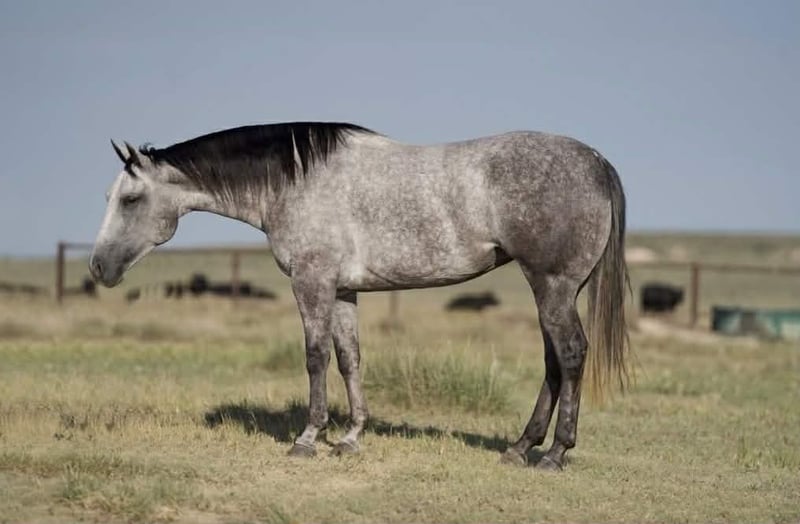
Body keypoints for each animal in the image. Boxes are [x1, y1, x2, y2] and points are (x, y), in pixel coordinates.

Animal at [89, 122, 630, 470]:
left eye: (130, 199)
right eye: (110, 198)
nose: (97, 267)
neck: (296, 181)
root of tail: (596, 161)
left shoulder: (312, 282)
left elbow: (315, 357)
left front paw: (309, 439)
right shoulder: (344, 289)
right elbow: (349, 358)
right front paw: (351, 437)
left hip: (552, 285)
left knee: (570, 355)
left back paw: (555, 453)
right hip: (553, 289)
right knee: (554, 362)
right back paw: (520, 447)